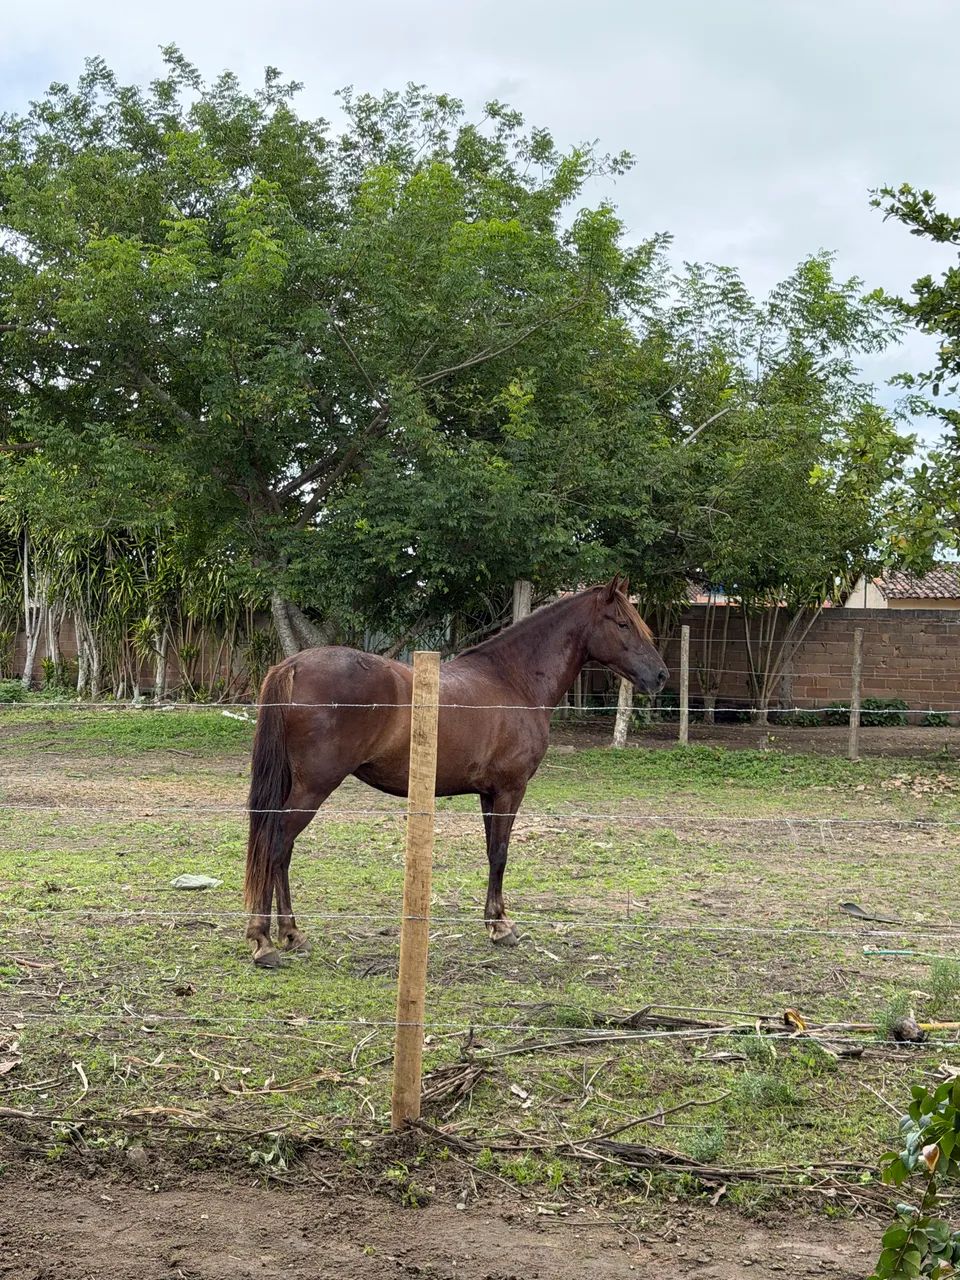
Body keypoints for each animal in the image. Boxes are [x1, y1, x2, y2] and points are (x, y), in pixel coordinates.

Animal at [243, 577, 668, 966]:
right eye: (624, 623)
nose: (661, 676)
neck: (513, 681)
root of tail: (292, 664)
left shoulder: (488, 794)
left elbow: (491, 850)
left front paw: (494, 920)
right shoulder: (510, 790)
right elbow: (500, 853)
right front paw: (501, 926)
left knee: (281, 850)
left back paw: (291, 933)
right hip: (314, 787)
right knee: (276, 844)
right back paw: (265, 941)